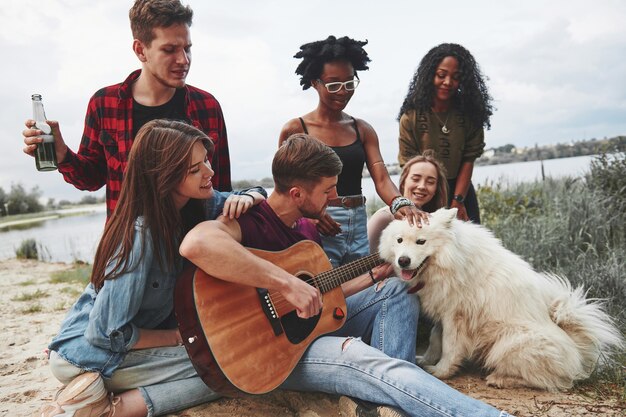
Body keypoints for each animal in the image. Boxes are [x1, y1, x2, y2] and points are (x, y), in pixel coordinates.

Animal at [378, 208, 620, 390]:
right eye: (399, 240)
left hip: (508, 343)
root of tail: (579, 351)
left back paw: (500, 379)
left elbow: (449, 347)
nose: (403, 260)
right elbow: (435, 339)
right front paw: (426, 360)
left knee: (549, 380)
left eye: (421, 241)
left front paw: (440, 372)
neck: (451, 260)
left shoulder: (456, 318)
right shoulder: (444, 311)